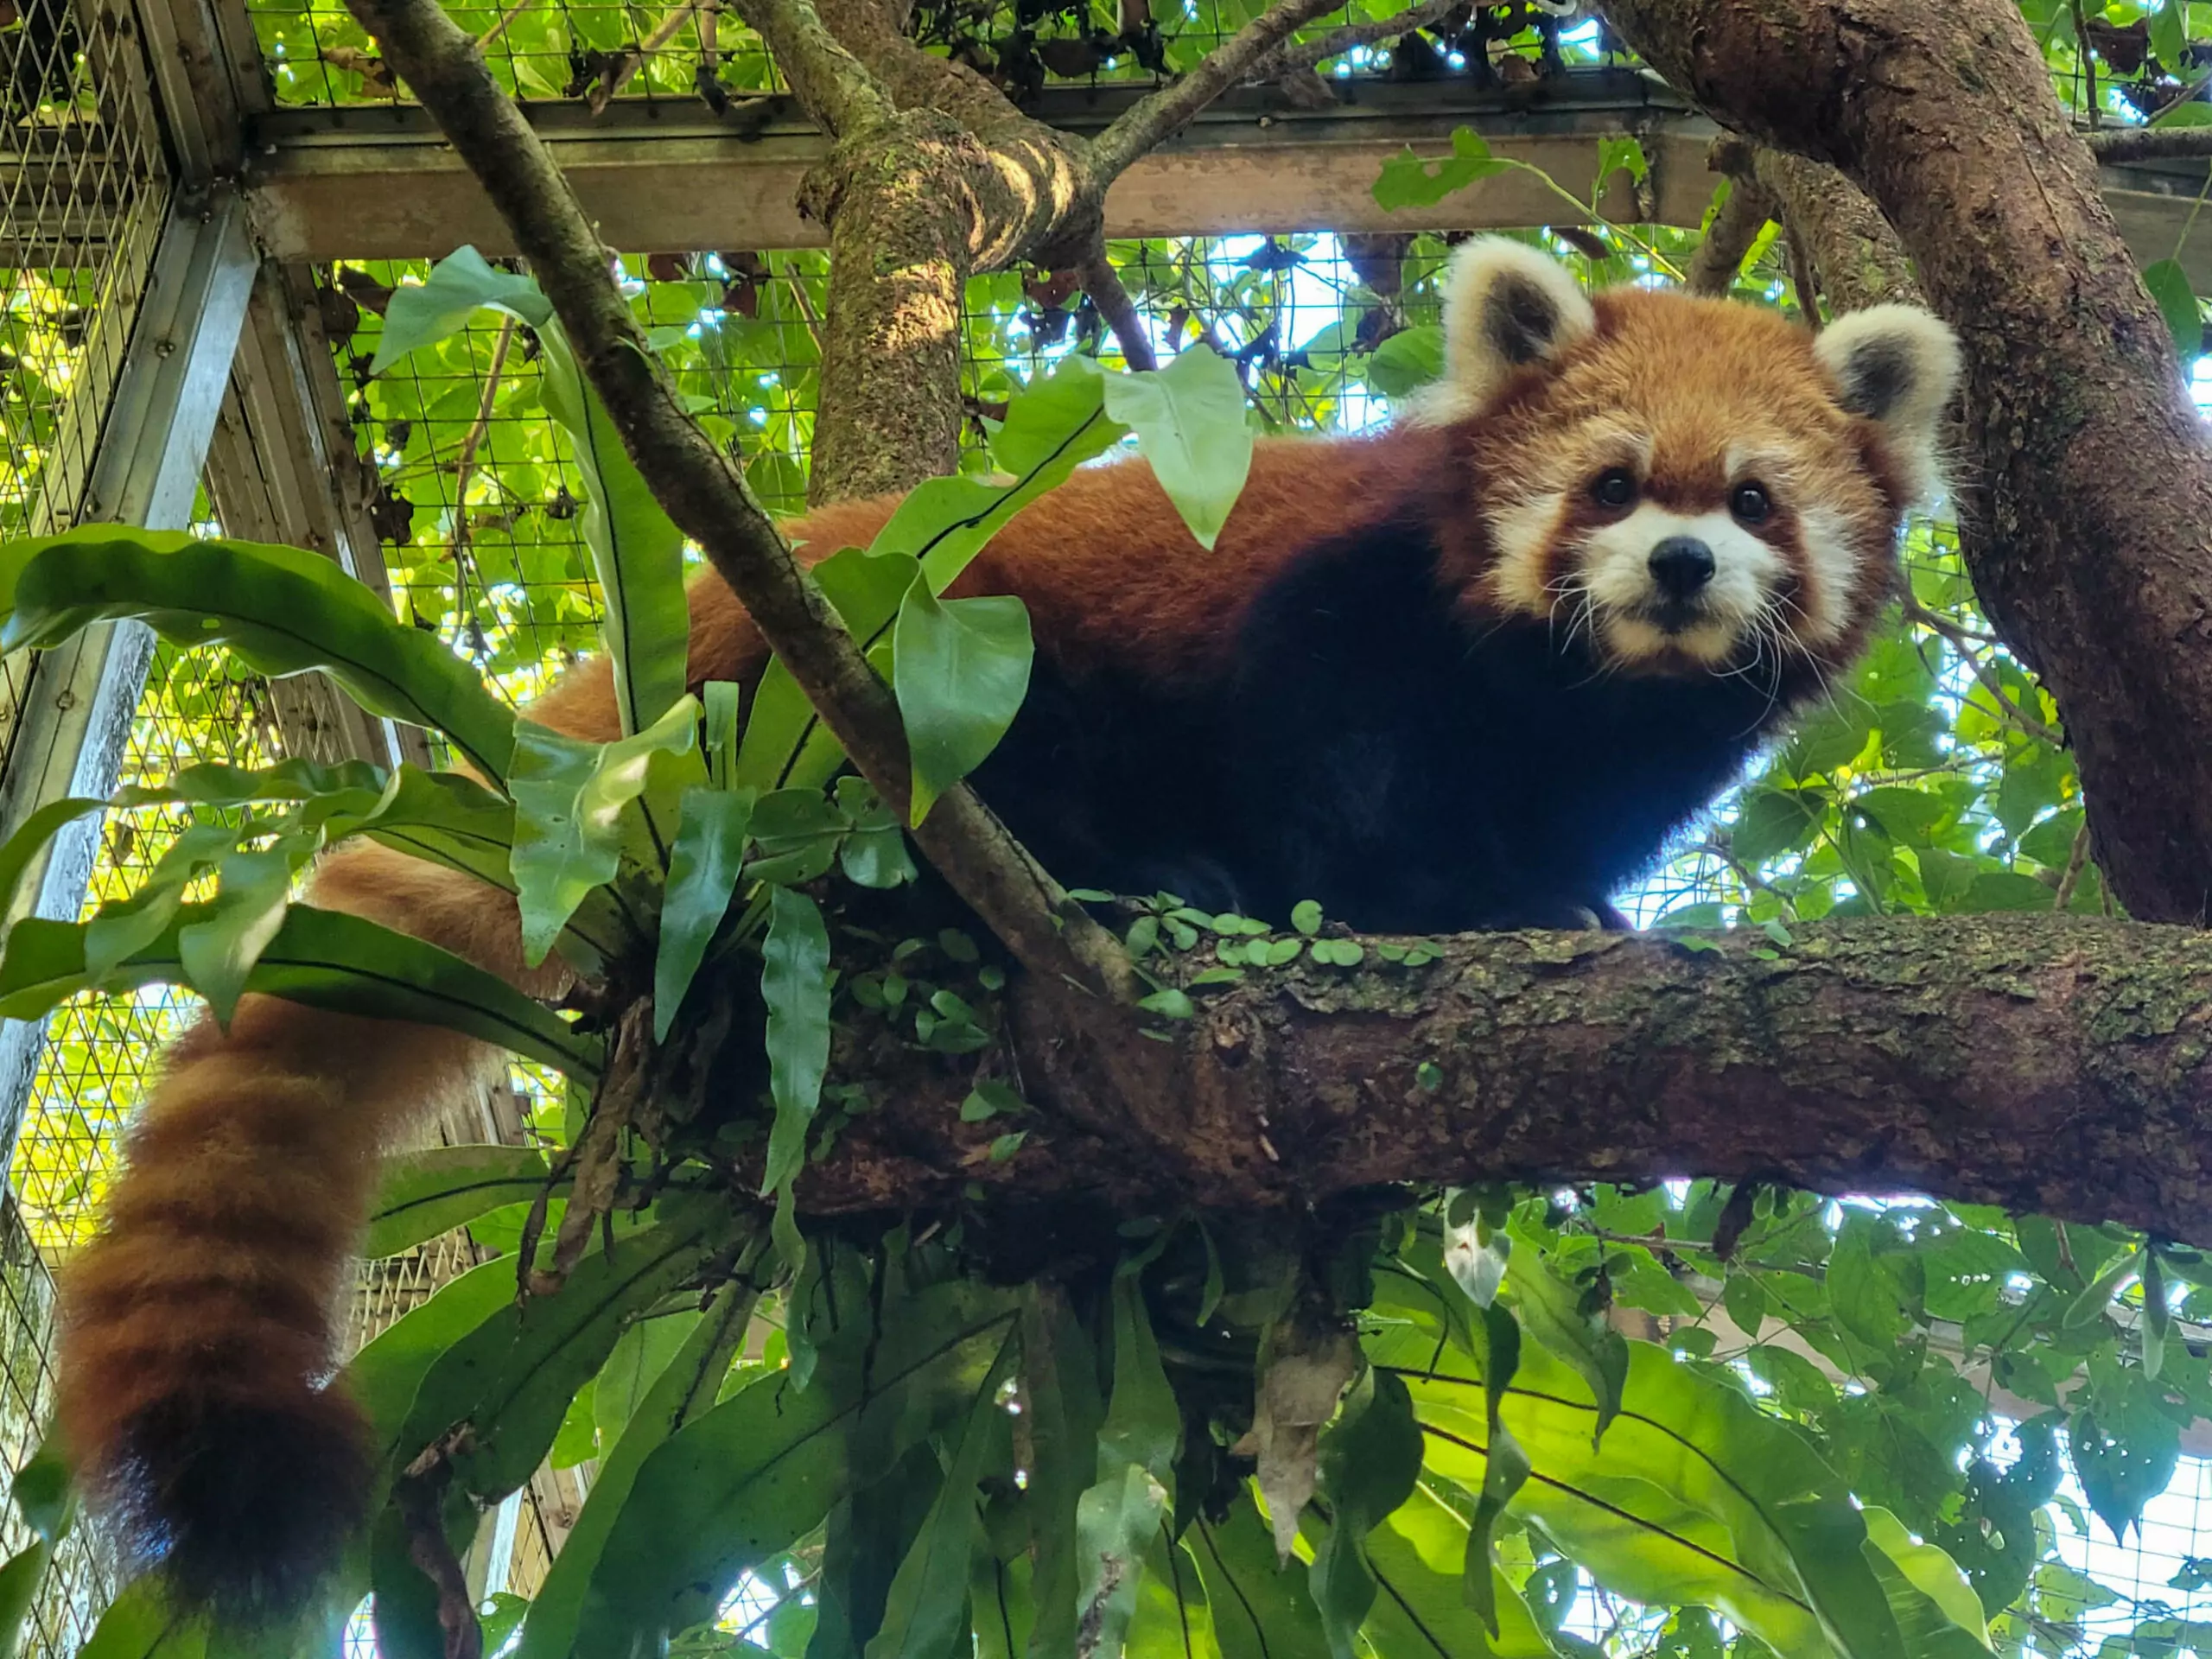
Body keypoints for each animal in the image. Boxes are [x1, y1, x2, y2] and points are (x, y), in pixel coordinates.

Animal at [48, 236, 1955, 1628]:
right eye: (1617, 484)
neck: (1577, 700)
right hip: (852, 711)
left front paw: (1561, 906)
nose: (1681, 571)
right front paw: (1381, 909)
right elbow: (1325, 778)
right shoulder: (1336, 612)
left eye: (1754, 500)